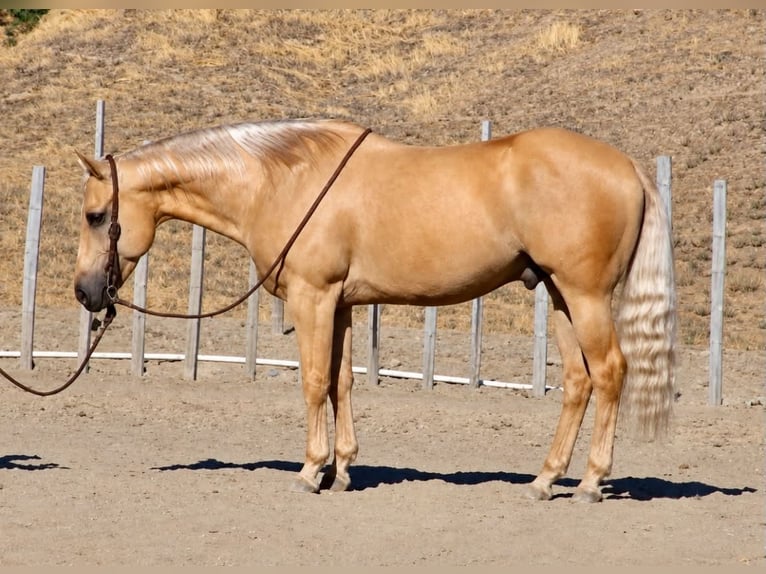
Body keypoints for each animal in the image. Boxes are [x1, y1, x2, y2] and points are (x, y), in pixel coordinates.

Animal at [73, 118, 676, 503]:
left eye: (96, 216)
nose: (84, 292)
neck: (285, 181)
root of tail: (626, 166)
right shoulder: (339, 303)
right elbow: (341, 383)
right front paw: (341, 470)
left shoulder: (313, 297)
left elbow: (314, 381)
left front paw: (310, 470)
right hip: (558, 295)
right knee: (579, 381)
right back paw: (546, 480)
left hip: (585, 296)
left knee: (610, 373)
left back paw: (592, 482)